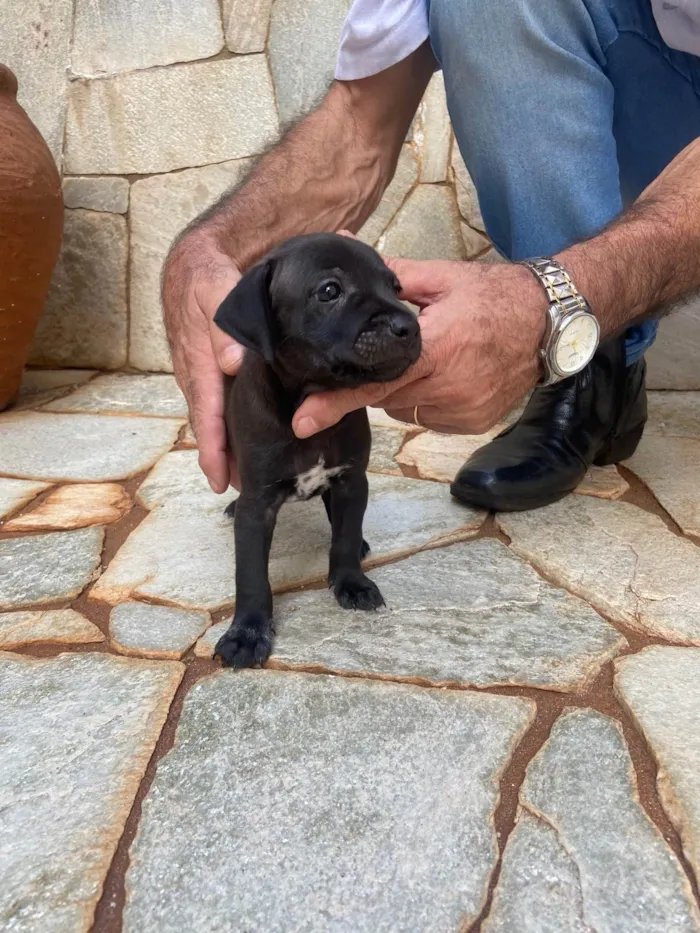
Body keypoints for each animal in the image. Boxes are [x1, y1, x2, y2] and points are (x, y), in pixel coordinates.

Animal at [212, 235, 422, 668]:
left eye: (395, 287)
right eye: (329, 291)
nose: (409, 327)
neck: (311, 394)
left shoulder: (351, 480)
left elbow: (344, 536)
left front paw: (351, 582)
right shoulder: (258, 506)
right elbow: (251, 574)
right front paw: (247, 631)